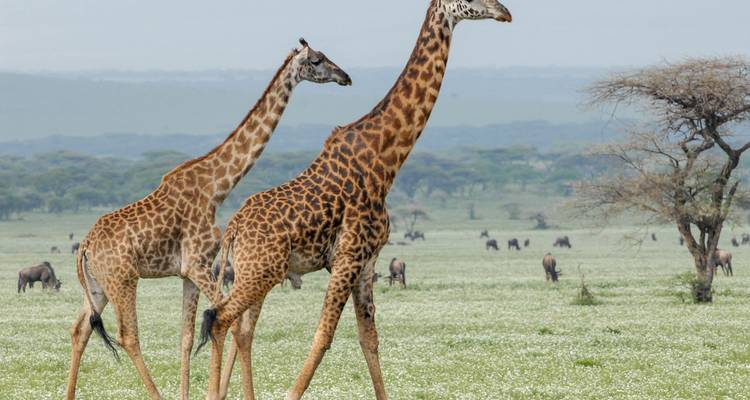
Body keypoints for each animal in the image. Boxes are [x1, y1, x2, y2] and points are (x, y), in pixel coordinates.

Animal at [65, 39, 351, 400]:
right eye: (317, 60)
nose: (345, 77)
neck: (216, 187)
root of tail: (85, 246)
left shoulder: (189, 272)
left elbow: (186, 338)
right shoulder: (198, 264)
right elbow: (231, 323)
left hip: (99, 285)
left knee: (79, 329)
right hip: (123, 279)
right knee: (128, 335)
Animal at [196, 1, 512, 399]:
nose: (505, 13)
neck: (385, 159)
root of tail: (233, 230)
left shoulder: (366, 261)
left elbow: (369, 338)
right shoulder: (347, 257)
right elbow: (323, 336)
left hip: (256, 272)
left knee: (240, 327)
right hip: (261, 271)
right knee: (220, 320)